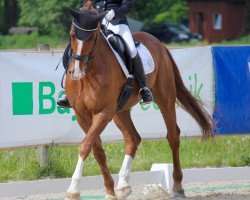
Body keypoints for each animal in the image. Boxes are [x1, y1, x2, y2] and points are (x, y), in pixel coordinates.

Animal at [64, 3, 213, 200]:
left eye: (93, 36)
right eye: (72, 35)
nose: (77, 73)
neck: (89, 74)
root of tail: (158, 43)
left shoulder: (103, 112)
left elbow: (85, 146)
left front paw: (73, 189)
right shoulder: (82, 115)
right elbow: (96, 150)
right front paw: (109, 191)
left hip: (164, 97)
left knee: (173, 136)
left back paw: (177, 186)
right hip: (120, 111)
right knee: (133, 138)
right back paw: (123, 186)